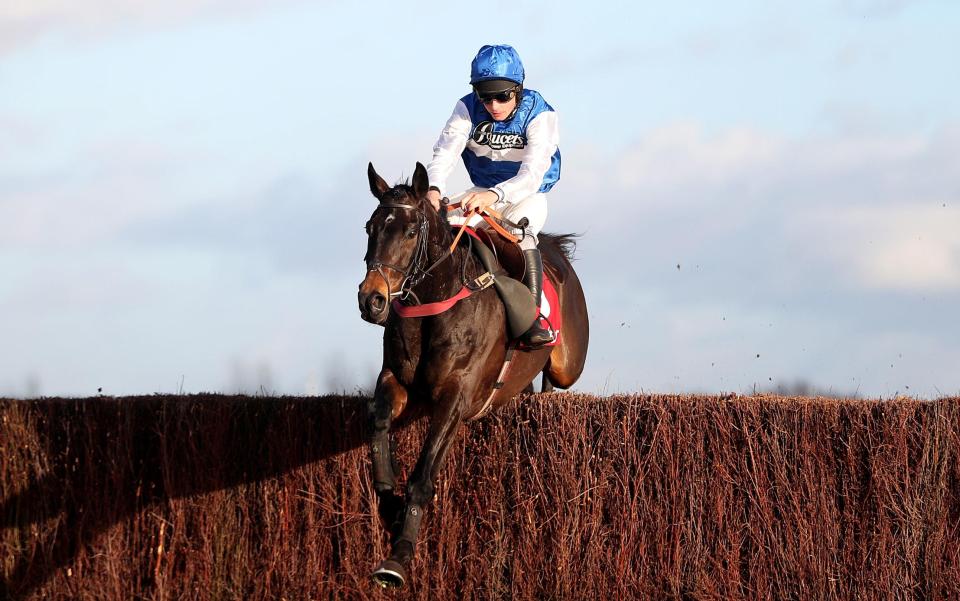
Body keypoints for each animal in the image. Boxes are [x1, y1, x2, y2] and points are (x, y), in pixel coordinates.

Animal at [356, 162, 588, 588]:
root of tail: (557, 251)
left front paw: (397, 557)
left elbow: (422, 478)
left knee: (556, 376)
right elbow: (377, 426)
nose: (372, 299)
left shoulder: (456, 399)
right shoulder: (395, 380)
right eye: (371, 226)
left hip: (568, 363)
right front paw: (389, 504)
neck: (434, 303)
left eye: (411, 232)